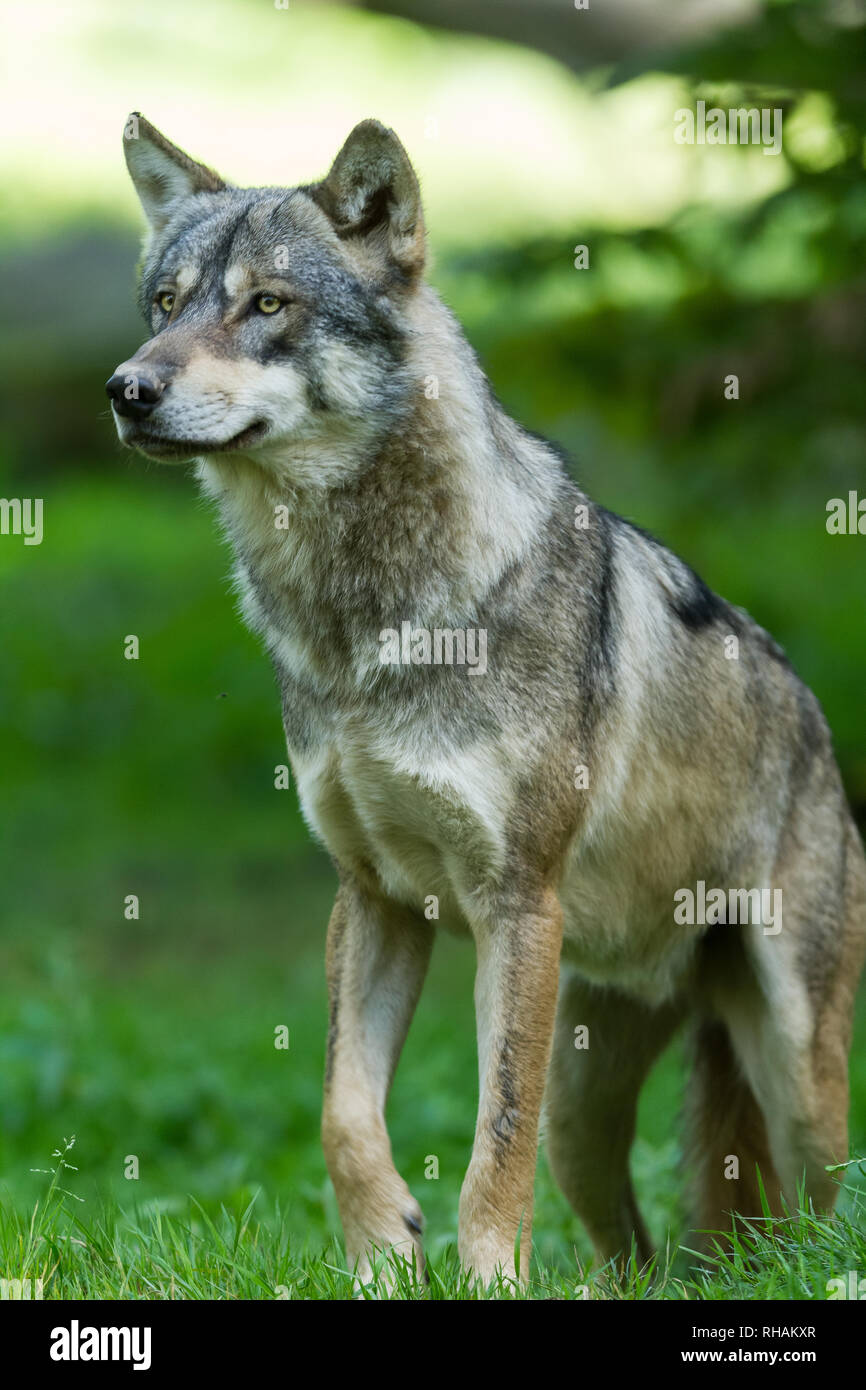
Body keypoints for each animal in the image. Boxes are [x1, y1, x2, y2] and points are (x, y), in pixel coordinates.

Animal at [107, 113, 866, 1284]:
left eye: (266, 305)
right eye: (164, 302)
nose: (125, 390)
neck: (364, 626)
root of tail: (817, 727)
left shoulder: (514, 903)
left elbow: (489, 1136)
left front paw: (486, 1280)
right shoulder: (373, 897)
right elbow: (342, 1114)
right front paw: (383, 1260)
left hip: (794, 1073)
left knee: (814, 1215)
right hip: (588, 1110)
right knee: (635, 1249)